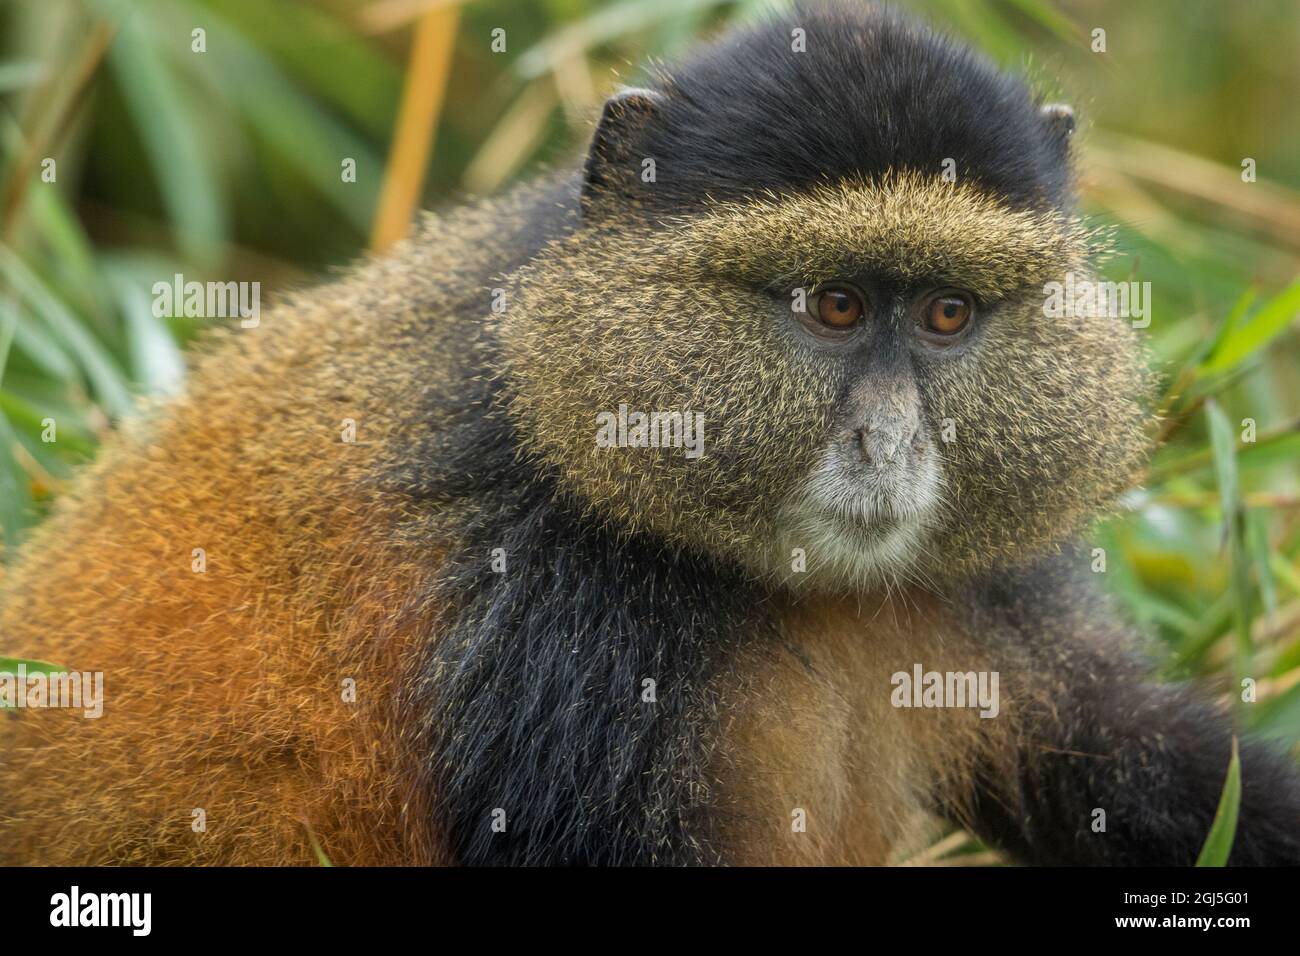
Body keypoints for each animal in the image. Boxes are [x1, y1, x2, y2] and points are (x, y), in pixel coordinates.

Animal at [2, 1, 1298, 867]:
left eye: (945, 313)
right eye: (832, 305)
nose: (887, 446)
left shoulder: (1000, 593)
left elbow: (1129, 757)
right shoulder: (555, 617)